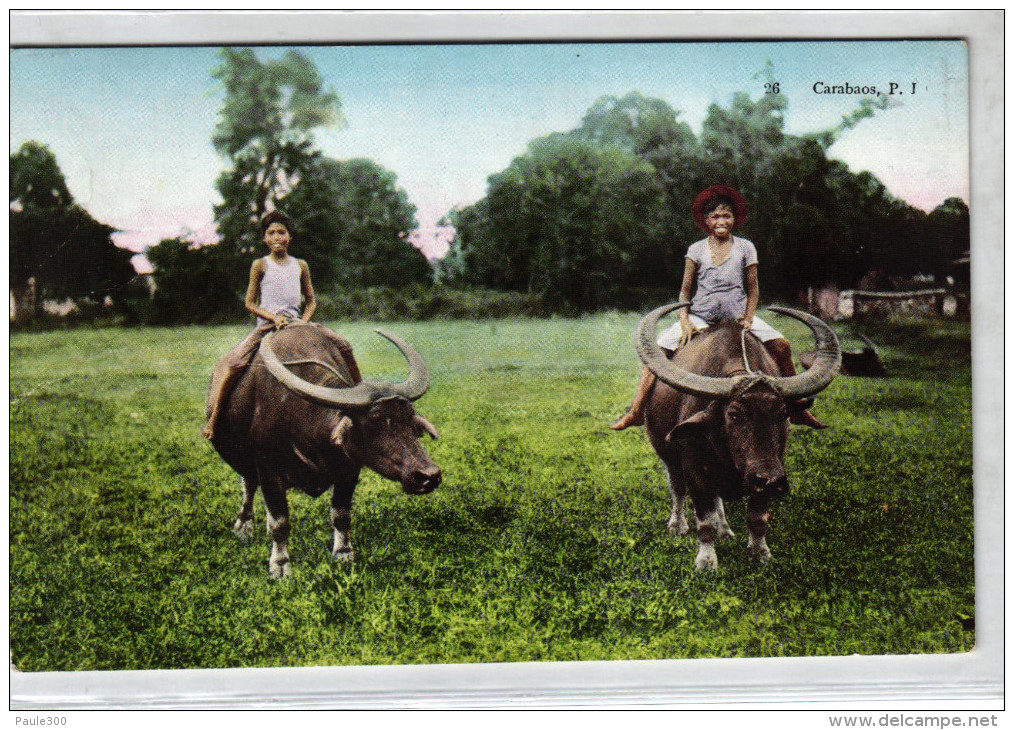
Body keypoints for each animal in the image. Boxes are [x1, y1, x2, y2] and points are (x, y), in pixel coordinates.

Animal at [208, 324, 440, 575]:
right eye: (376, 422)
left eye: (410, 420)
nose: (429, 475)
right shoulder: (269, 471)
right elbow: (279, 522)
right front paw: (280, 565)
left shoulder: (349, 469)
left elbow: (341, 515)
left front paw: (343, 553)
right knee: (248, 485)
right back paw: (243, 525)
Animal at [632, 302, 839, 571]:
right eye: (734, 413)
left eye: (783, 413)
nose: (770, 480)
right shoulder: (695, 470)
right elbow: (703, 519)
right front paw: (706, 562)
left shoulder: (771, 468)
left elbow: (757, 519)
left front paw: (760, 553)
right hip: (668, 457)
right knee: (677, 488)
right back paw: (678, 525)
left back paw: (725, 529)